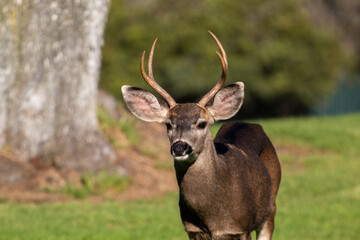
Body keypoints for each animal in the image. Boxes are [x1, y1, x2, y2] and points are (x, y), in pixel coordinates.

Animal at [122, 31, 282, 240]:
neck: (212, 216)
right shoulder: (192, 229)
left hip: (270, 209)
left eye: (202, 123)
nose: (180, 147)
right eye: (168, 124)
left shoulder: (241, 227)